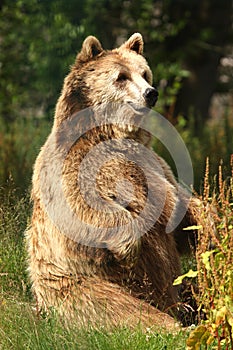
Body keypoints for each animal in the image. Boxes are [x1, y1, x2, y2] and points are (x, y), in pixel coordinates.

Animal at [26, 32, 198, 330]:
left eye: (144, 73)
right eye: (121, 77)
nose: (151, 93)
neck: (112, 135)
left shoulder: (155, 165)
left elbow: (177, 205)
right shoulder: (72, 167)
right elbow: (84, 210)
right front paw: (128, 247)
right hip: (82, 285)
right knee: (124, 310)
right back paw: (175, 325)